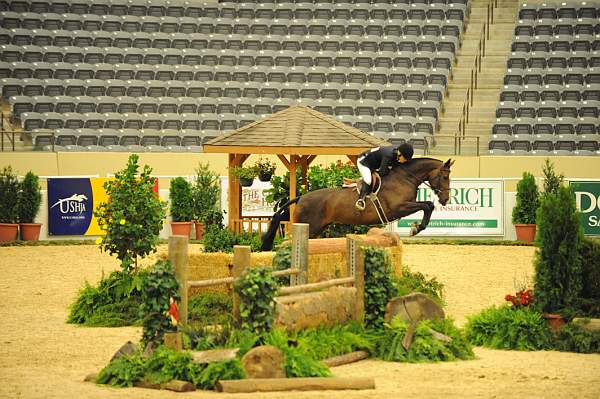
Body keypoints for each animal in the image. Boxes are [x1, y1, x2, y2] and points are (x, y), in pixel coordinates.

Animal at [260, 159, 452, 250]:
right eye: (444, 176)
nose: (445, 199)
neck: (405, 177)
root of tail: (300, 197)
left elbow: (428, 205)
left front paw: (417, 227)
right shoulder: (399, 208)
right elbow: (427, 205)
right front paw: (416, 228)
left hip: (314, 230)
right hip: (308, 226)